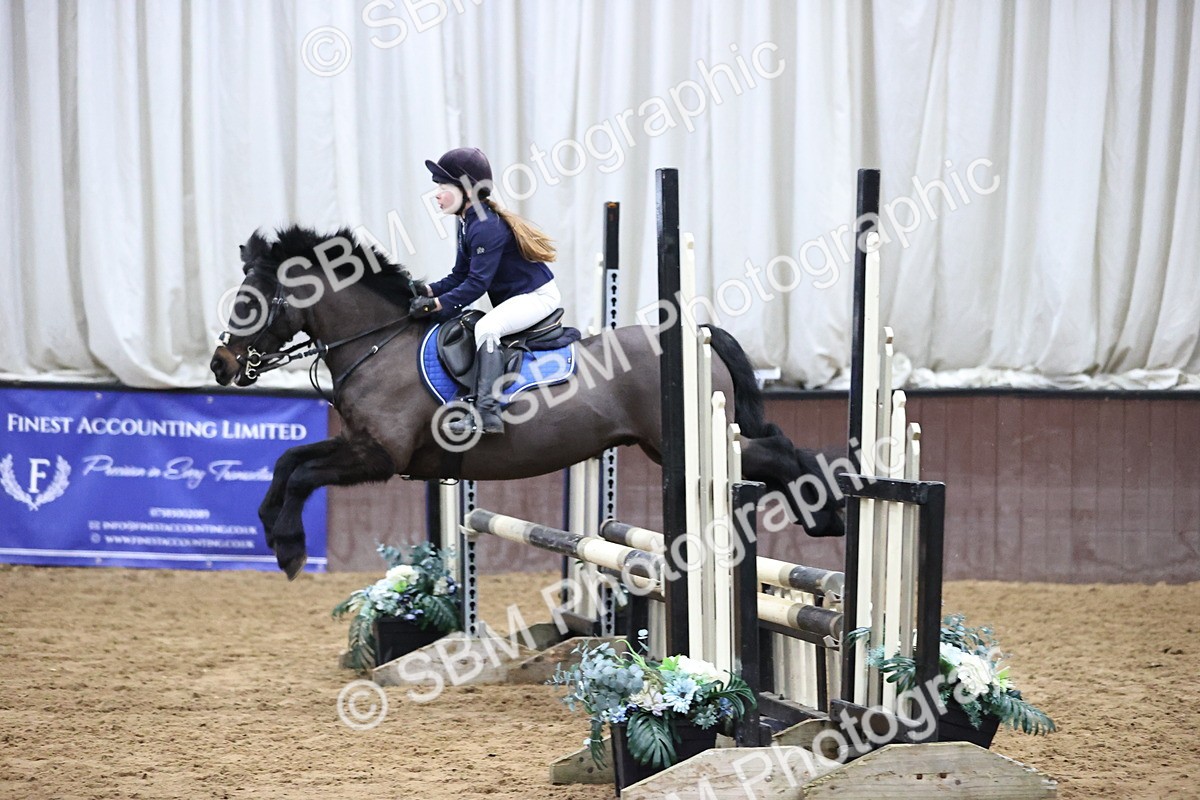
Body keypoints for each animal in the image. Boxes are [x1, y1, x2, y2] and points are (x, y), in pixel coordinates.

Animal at [210, 225, 844, 578]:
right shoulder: (360, 447)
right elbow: (288, 461)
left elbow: (300, 472)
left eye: (251, 301)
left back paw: (828, 510)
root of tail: (699, 333)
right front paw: (270, 528)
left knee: (777, 452)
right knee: (770, 450)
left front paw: (289, 547)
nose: (220, 365)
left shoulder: (379, 457)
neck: (377, 343)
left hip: (680, 448)